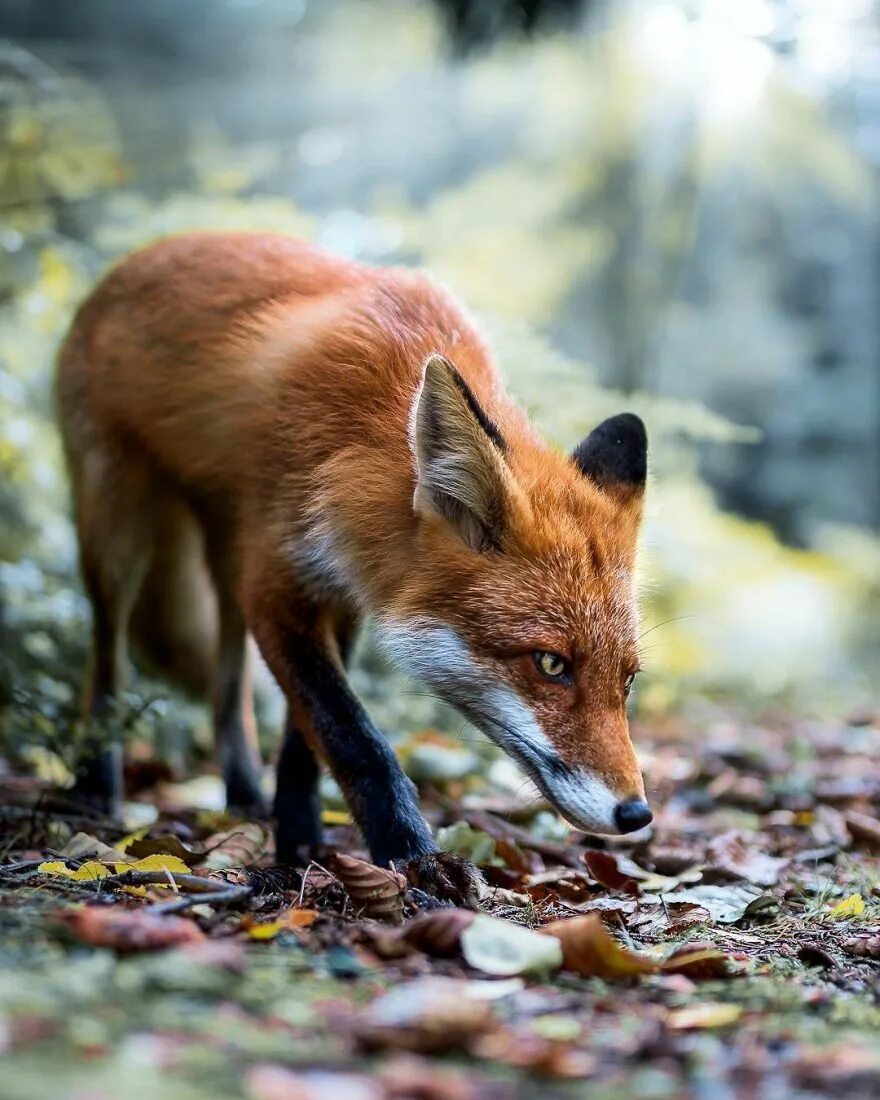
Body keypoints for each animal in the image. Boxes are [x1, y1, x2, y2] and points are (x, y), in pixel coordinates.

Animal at [55, 232, 651, 902]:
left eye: (629, 680)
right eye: (551, 664)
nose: (637, 814)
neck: (355, 443)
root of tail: (145, 252)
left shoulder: (338, 592)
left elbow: (304, 741)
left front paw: (299, 837)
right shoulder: (278, 581)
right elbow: (351, 734)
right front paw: (414, 857)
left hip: (227, 551)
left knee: (228, 681)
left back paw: (244, 796)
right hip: (118, 533)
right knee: (107, 657)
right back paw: (96, 786)